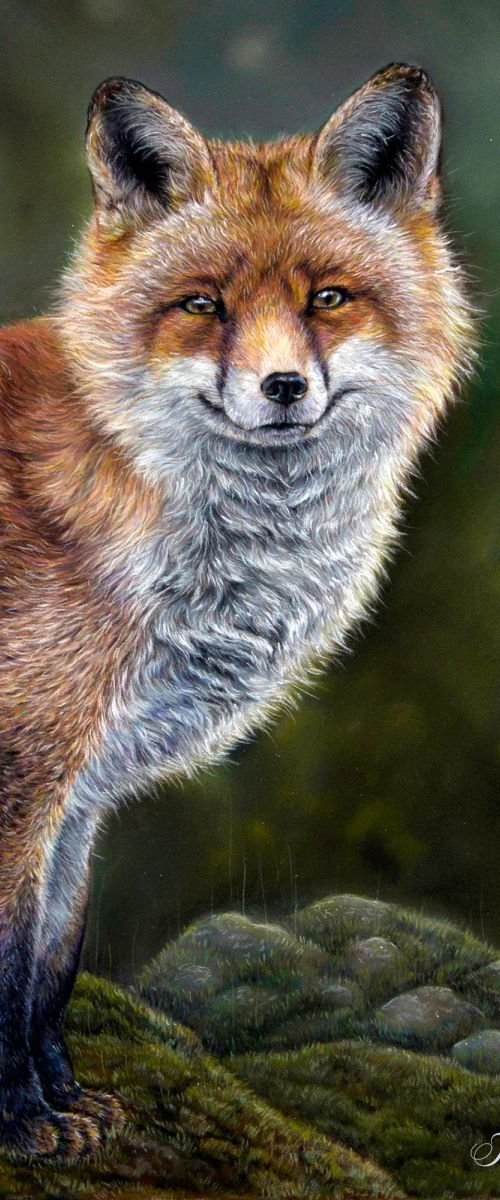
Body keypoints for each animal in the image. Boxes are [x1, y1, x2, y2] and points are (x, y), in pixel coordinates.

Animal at [0, 62, 473, 1159]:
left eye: (328, 298)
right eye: (202, 305)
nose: (283, 387)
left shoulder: (76, 799)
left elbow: (47, 967)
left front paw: (65, 1103)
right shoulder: (23, 773)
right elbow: (2, 971)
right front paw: (18, 1123)